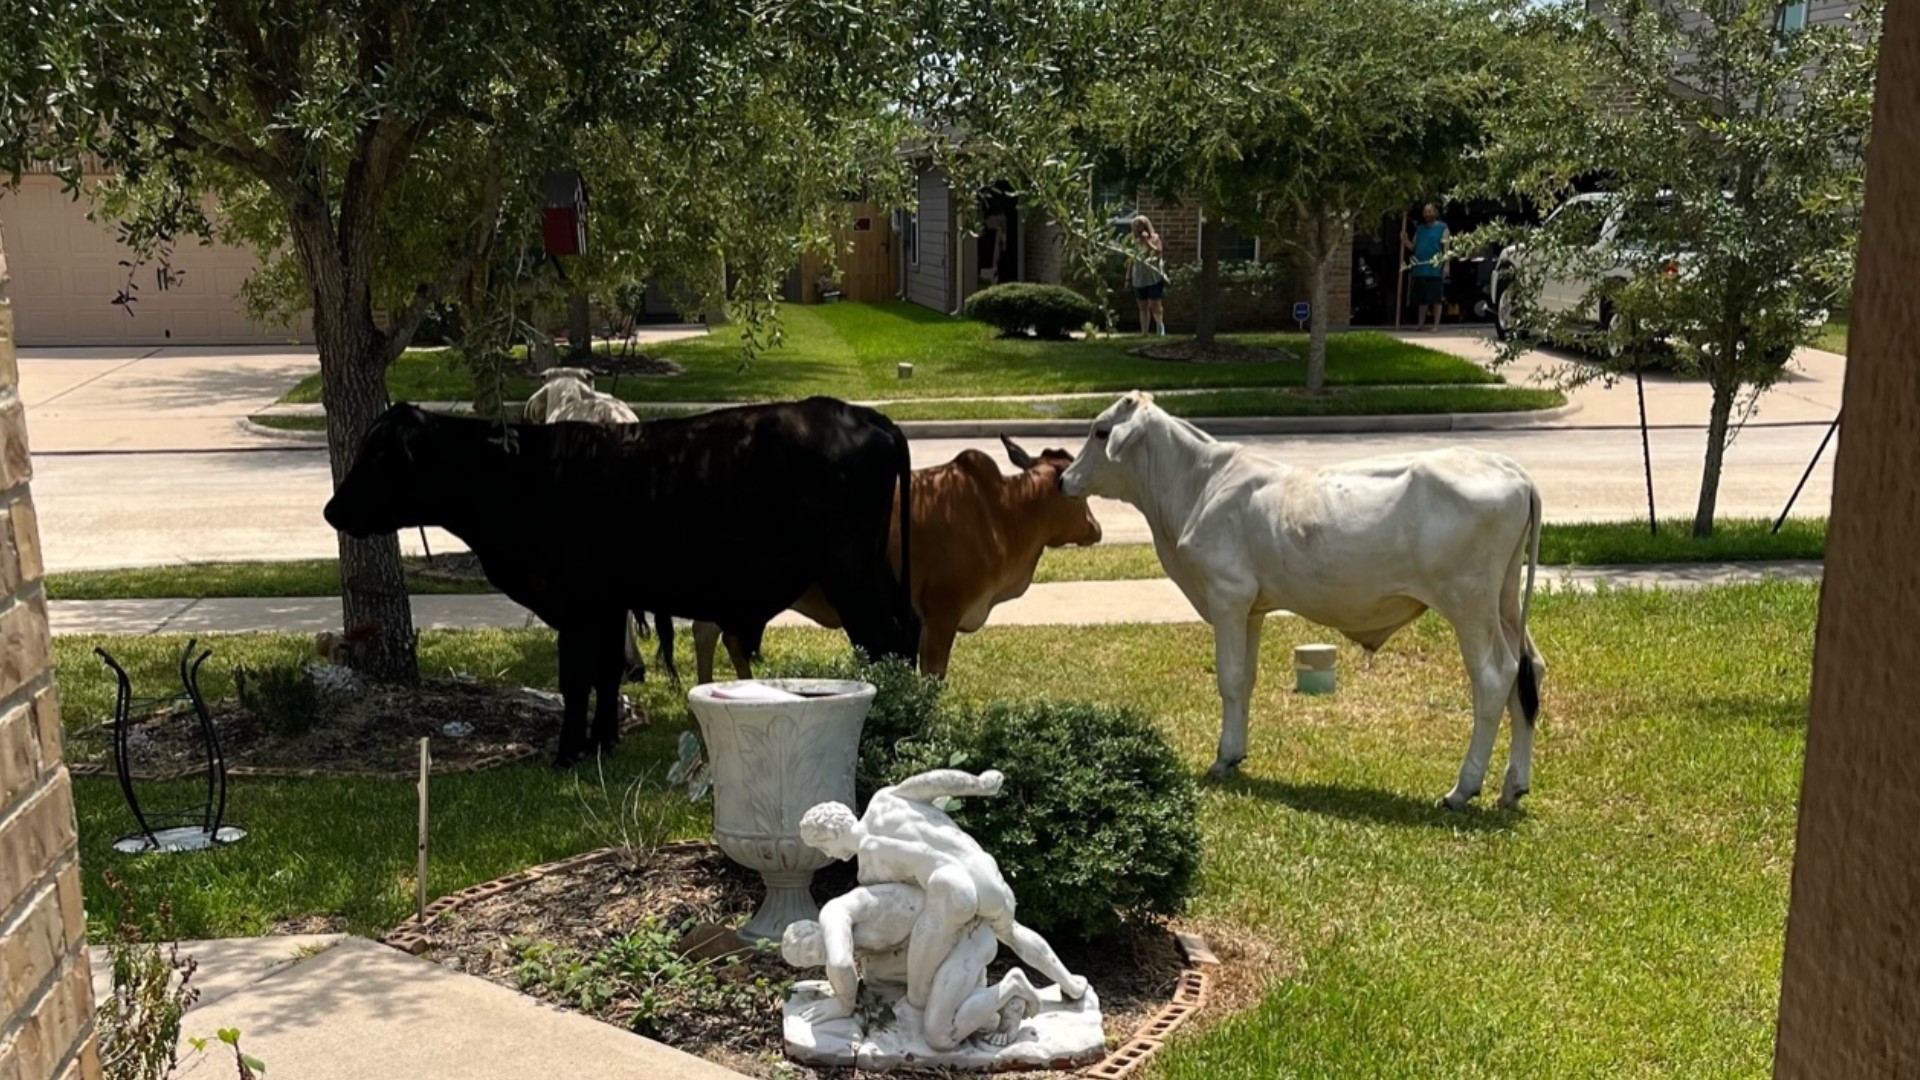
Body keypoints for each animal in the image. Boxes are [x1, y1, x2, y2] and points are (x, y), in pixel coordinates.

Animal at [318, 397, 917, 764]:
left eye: (378, 453)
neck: (520, 477)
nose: (330, 510)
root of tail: (861, 415)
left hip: (850, 570)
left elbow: (576, 678)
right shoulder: (607, 603)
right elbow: (605, 675)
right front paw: (603, 742)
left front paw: (566, 753)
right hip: (871, 569)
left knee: (883, 641)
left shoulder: (578, 603)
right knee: (906, 632)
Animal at [698, 432, 1105, 676]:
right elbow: (933, 677)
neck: (1003, 512)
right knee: (715, 635)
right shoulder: (941, 614)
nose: (1096, 528)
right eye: (1080, 492)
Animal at [1067, 390, 1543, 803]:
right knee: (1529, 671)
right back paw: (1513, 787)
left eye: (1100, 431)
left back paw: (1463, 789)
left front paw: (1222, 760)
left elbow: (1229, 678)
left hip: (1468, 603)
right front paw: (1236, 753)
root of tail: (1511, 469)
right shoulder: (1252, 608)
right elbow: (1246, 678)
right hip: (1504, 603)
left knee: (1494, 677)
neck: (1197, 483)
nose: (1066, 480)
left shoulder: (1226, 595)